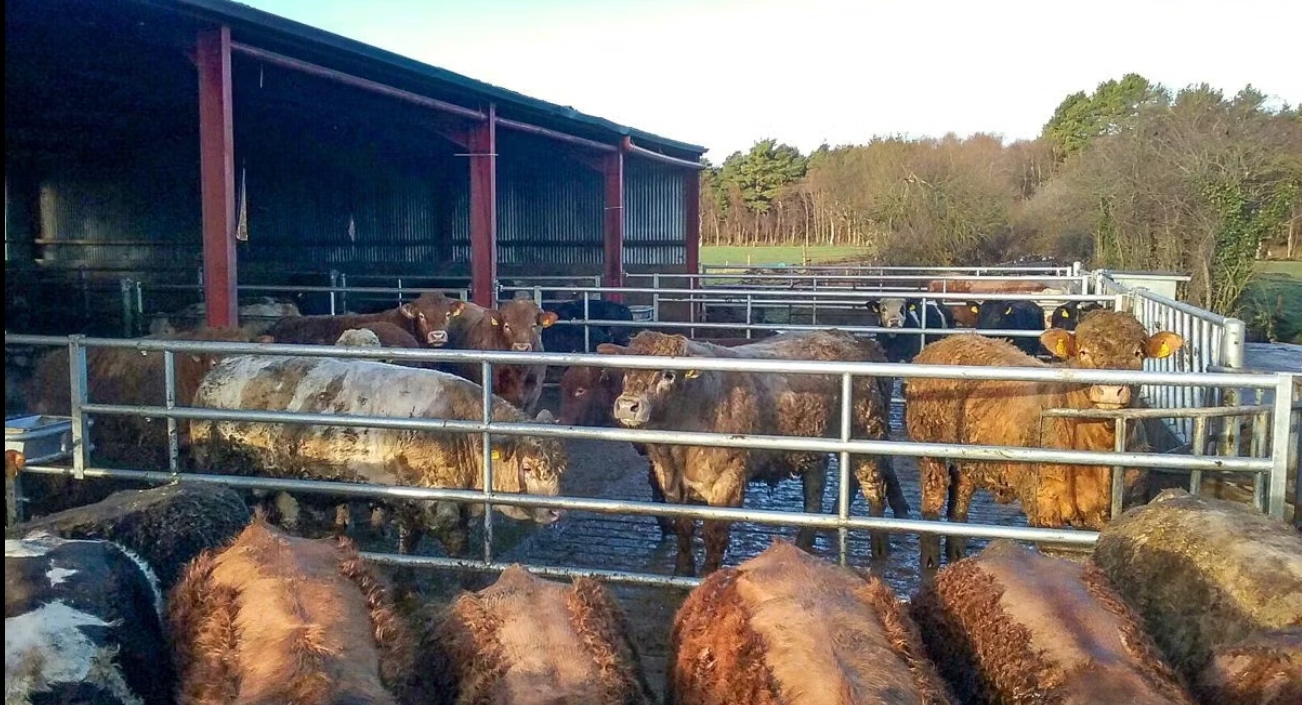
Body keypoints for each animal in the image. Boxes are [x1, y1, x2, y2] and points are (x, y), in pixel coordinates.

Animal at [605, 330, 906, 576]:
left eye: (668, 374)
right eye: (625, 372)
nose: (628, 405)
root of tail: (857, 341)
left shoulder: (728, 478)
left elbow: (714, 534)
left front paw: (707, 575)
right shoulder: (670, 482)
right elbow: (683, 526)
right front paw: (682, 570)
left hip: (866, 434)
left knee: (873, 490)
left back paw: (880, 550)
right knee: (814, 495)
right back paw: (802, 547)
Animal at [904, 310, 1183, 572]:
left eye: (1138, 353)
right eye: (1083, 352)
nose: (1110, 391)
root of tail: (950, 339)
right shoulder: (1045, 508)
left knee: (960, 496)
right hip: (928, 446)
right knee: (934, 496)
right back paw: (929, 563)